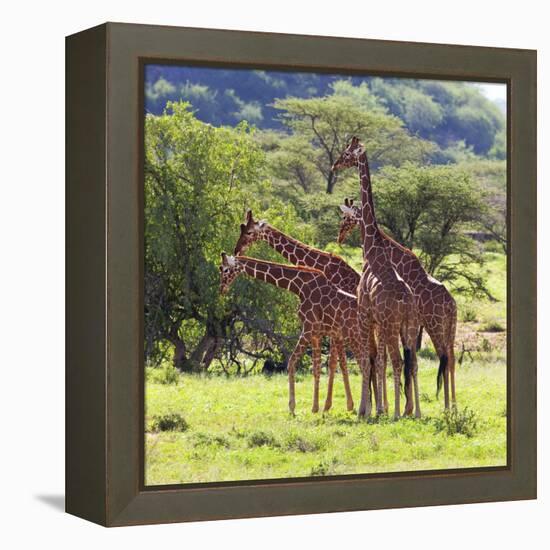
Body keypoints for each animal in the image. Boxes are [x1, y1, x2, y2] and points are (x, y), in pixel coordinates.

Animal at [233, 211, 384, 414]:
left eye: (249, 232)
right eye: (241, 229)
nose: (236, 250)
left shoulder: (332, 325)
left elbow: (335, 362)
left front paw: (333, 405)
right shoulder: (332, 327)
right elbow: (336, 362)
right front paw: (339, 405)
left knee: (376, 357)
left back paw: (377, 406)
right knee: (376, 356)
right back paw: (377, 405)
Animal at [332, 139, 422, 422]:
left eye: (346, 153)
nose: (334, 165)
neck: (372, 249)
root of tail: (407, 303)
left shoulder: (365, 313)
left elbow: (368, 359)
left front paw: (367, 410)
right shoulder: (378, 321)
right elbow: (376, 360)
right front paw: (377, 408)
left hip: (392, 326)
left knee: (397, 361)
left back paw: (396, 414)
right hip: (409, 327)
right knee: (412, 363)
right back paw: (415, 412)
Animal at [338, 196, 460, 408]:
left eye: (345, 216)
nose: (340, 236)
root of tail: (451, 305)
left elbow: (389, 359)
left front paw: (392, 406)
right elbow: (403, 360)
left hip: (434, 325)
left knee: (443, 358)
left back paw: (446, 406)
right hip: (449, 328)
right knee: (451, 359)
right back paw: (453, 404)